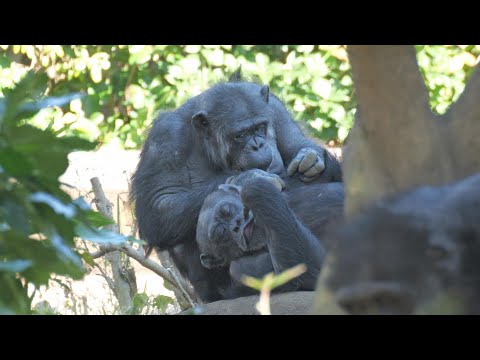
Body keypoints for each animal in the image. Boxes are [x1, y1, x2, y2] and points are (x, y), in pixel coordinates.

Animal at [131, 74, 342, 300]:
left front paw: (309, 158)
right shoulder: (165, 138)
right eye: (240, 135)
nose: (257, 145)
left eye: (259, 128)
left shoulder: (276, 109)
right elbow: (158, 206)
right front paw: (250, 177)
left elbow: (296, 146)